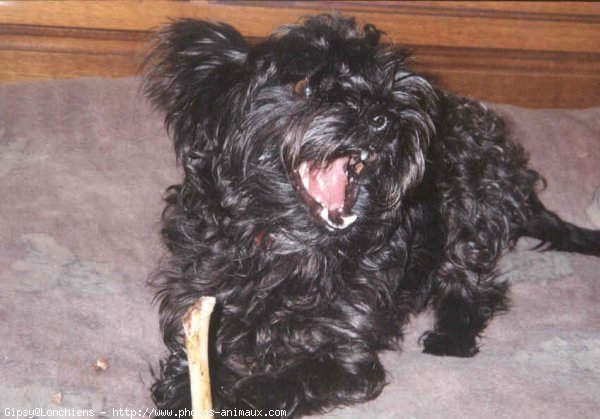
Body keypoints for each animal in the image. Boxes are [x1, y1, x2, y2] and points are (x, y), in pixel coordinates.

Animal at [145, 14, 600, 418]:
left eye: (385, 84)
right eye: (304, 85)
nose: (386, 117)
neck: (288, 254)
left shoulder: (344, 352)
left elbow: (276, 384)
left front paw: (228, 397)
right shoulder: (199, 305)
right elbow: (196, 360)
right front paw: (186, 390)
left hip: (471, 205)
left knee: (476, 289)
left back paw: (451, 335)